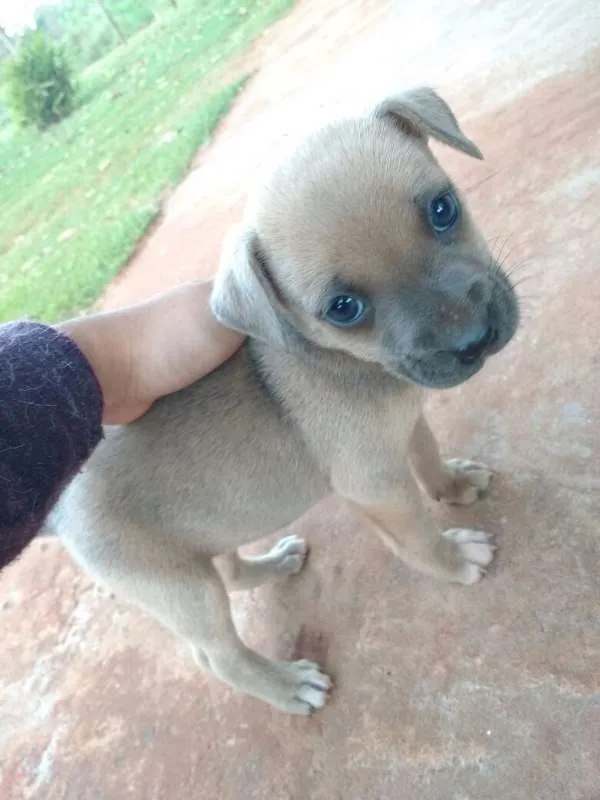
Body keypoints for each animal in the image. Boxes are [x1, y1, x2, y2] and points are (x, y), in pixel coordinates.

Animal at [52, 90, 520, 716]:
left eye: (442, 210)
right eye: (343, 308)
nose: (473, 339)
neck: (352, 366)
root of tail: (59, 509)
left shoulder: (405, 425)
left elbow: (427, 456)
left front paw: (455, 484)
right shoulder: (375, 484)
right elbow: (418, 534)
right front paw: (452, 559)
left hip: (208, 532)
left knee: (230, 571)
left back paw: (272, 564)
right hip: (178, 587)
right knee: (218, 657)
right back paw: (285, 685)